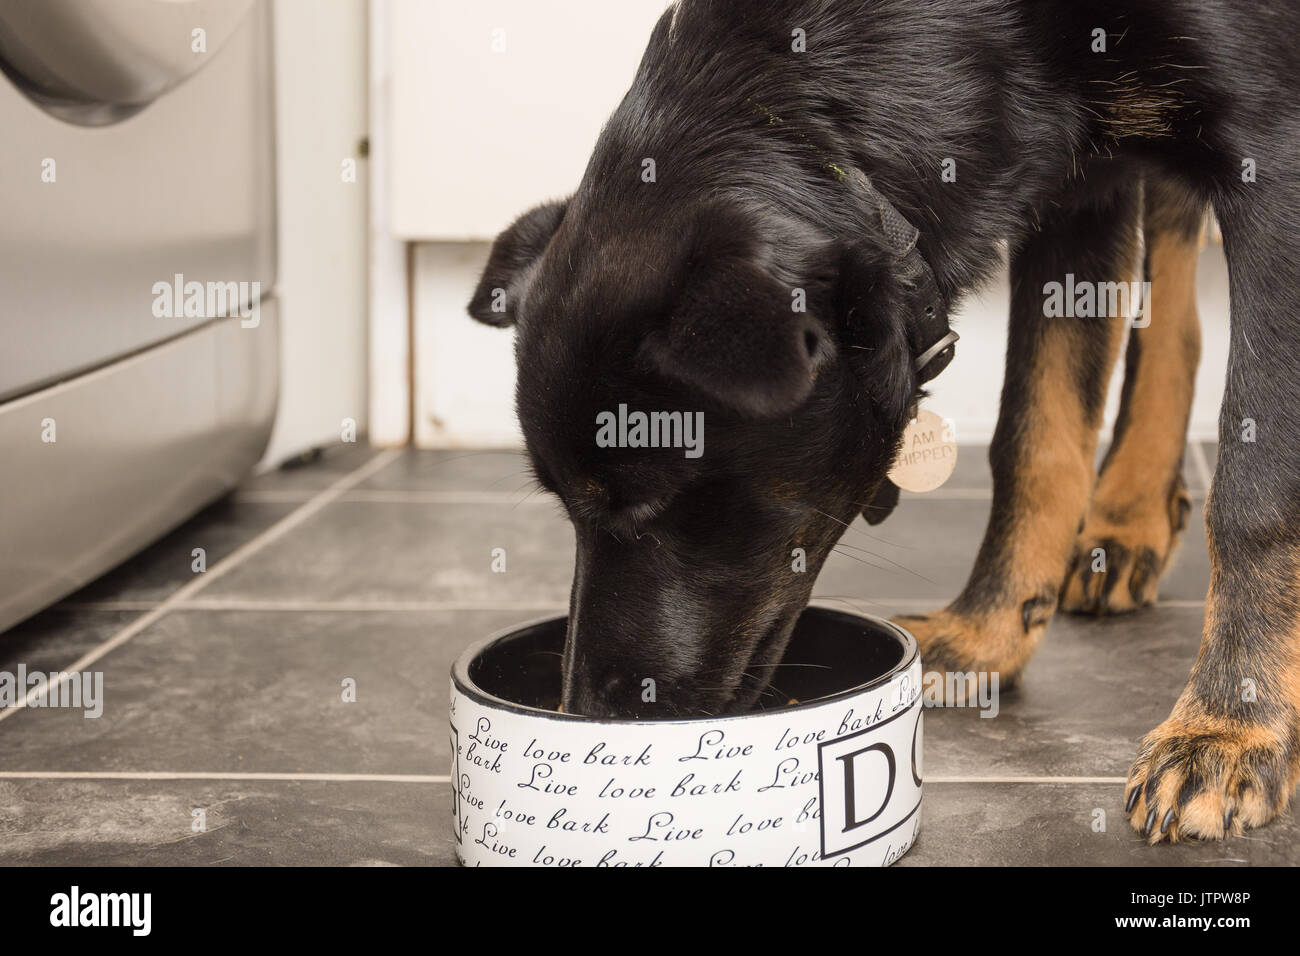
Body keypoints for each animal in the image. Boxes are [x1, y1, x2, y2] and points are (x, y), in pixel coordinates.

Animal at [467, 0, 1300, 842]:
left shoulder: (1274, 155)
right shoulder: (1075, 186)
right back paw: (1129, 516)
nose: (585, 712)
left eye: (650, 503)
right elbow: (1035, 437)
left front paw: (1230, 727)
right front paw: (987, 635)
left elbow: (1253, 490)